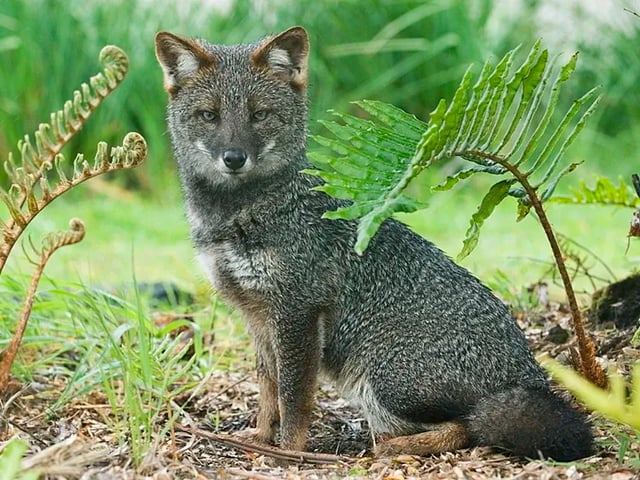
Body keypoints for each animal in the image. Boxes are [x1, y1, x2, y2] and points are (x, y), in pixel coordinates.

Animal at [154, 26, 593, 461]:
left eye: (259, 115)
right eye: (209, 116)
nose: (234, 157)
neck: (234, 217)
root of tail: (529, 376)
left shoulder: (298, 310)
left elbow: (294, 399)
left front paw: (289, 454)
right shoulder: (257, 316)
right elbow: (267, 390)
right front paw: (261, 440)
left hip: (381, 381)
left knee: (466, 428)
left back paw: (391, 449)